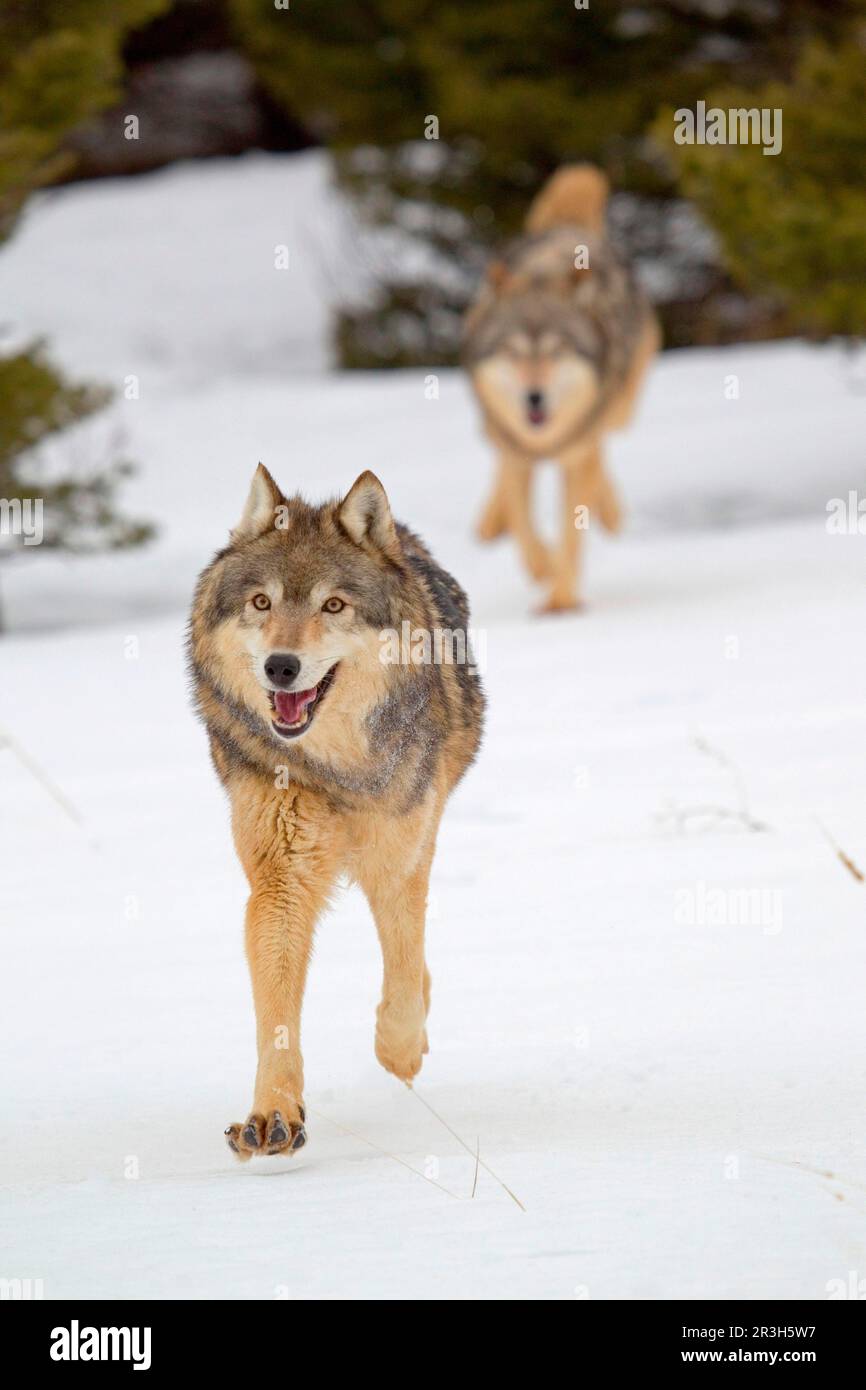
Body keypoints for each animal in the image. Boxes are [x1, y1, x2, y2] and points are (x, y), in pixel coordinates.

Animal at [187, 467, 483, 1162]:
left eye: (333, 606)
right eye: (261, 603)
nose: (281, 666)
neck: (335, 769)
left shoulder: (396, 858)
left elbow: (402, 970)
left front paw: (400, 1053)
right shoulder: (281, 877)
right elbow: (276, 1010)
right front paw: (272, 1114)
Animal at [464, 162, 661, 608]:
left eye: (557, 352)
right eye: (514, 352)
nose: (534, 397)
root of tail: (566, 227)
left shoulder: (575, 452)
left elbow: (572, 533)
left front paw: (561, 601)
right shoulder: (519, 454)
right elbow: (525, 529)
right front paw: (544, 571)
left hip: (617, 411)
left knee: (599, 451)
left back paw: (610, 512)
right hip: (498, 427)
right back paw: (490, 523)